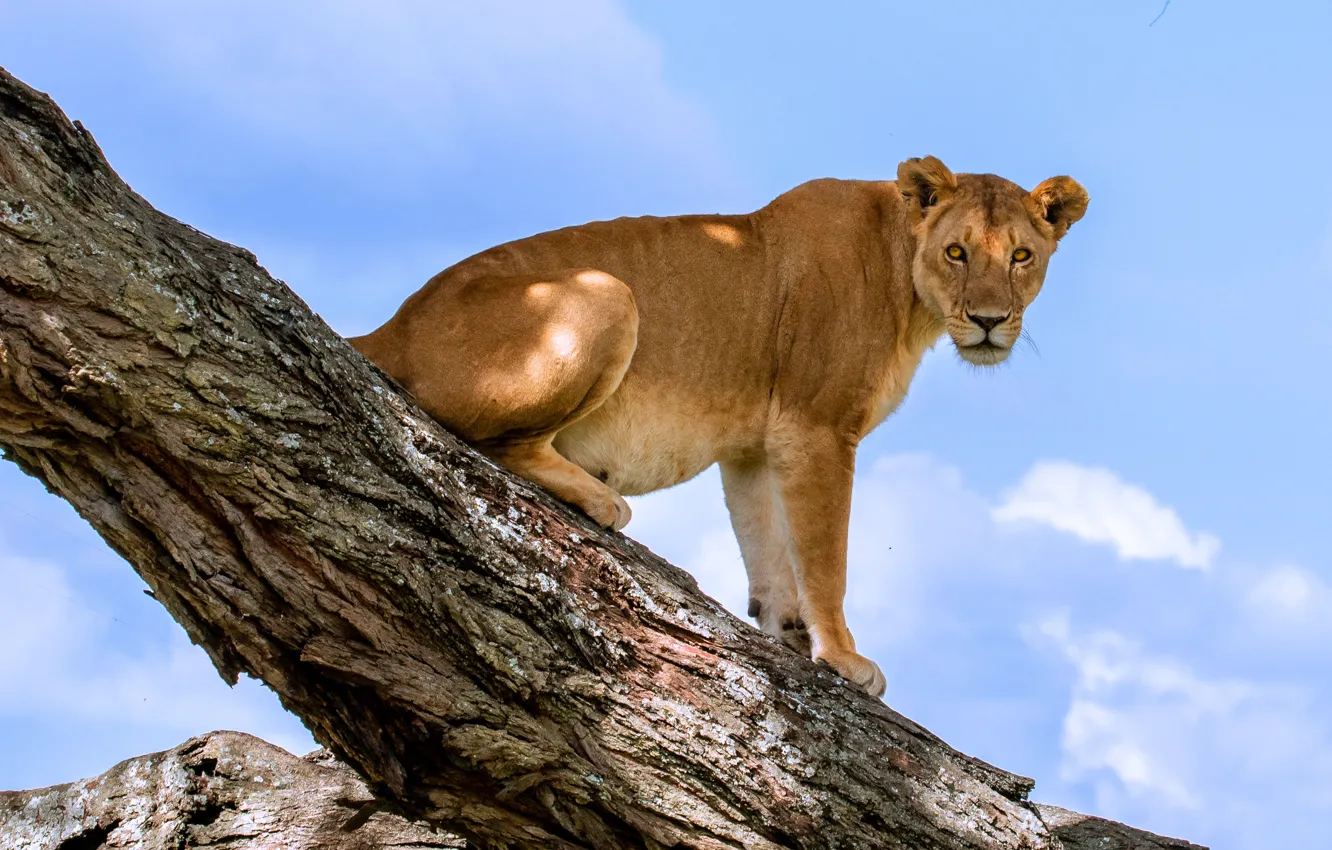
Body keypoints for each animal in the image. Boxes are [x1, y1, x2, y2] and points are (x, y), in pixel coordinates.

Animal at [349, 156, 1088, 697]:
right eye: (957, 253)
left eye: (1021, 257)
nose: (990, 321)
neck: (909, 288)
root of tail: (392, 326)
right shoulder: (818, 428)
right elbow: (826, 555)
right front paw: (842, 656)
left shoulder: (758, 447)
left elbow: (770, 547)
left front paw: (787, 629)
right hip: (607, 290)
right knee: (500, 441)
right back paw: (600, 498)